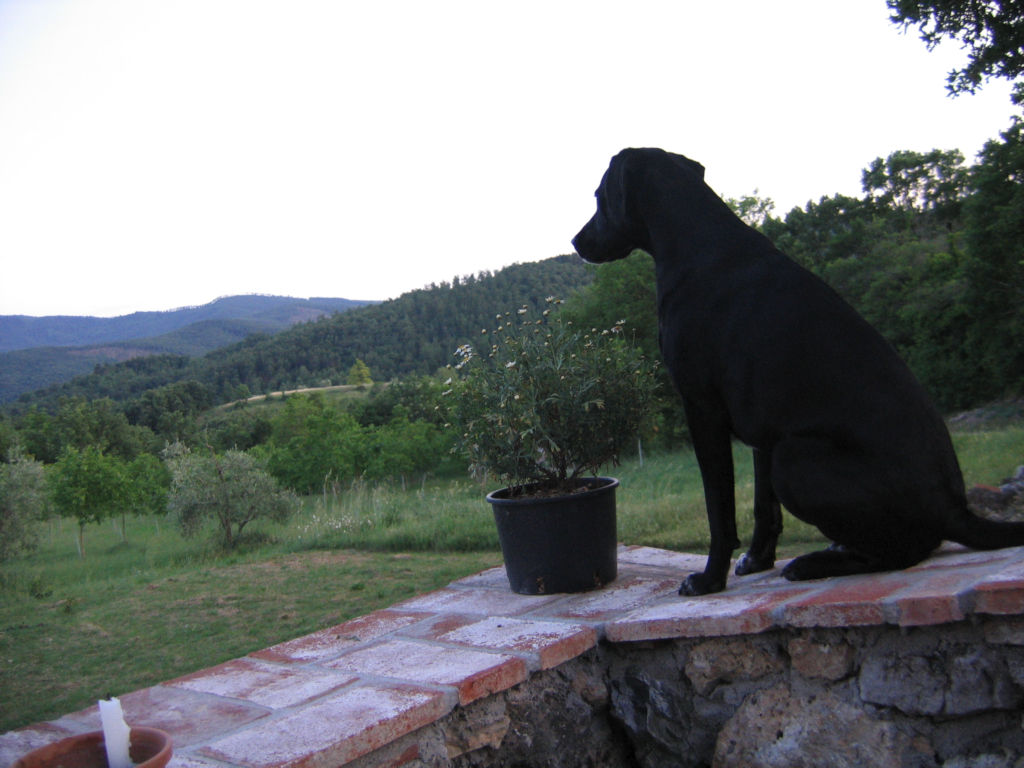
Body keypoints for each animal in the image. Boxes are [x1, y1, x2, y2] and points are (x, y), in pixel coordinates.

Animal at [573, 147, 1024, 595]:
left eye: (598, 196)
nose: (576, 241)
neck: (698, 246)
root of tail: (956, 510)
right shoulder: (763, 430)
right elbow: (763, 507)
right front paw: (757, 559)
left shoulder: (702, 408)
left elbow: (720, 509)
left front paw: (709, 579)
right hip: (785, 452)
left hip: (794, 458)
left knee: (901, 553)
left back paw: (814, 562)